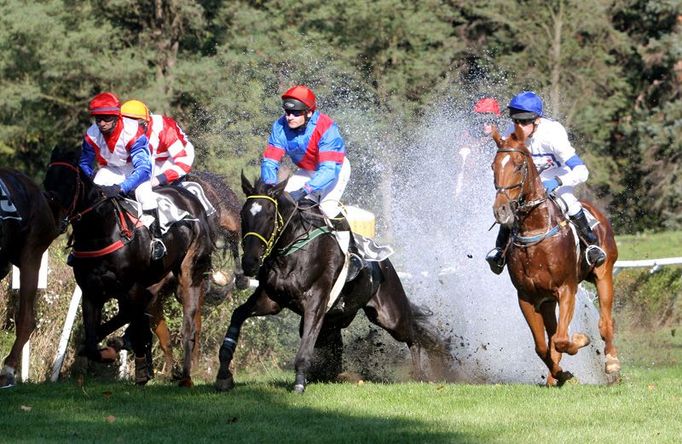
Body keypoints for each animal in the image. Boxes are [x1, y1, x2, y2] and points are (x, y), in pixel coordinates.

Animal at [43, 147, 212, 386]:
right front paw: (110, 353)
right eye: (47, 179)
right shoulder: (92, 292)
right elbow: (93, 340)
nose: (55, 219)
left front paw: (120, 351)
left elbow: (127, 321)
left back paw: (186, 375)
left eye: (69, 182)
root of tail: (191, 199)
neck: (100, 232)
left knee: (189, 325)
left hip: (190, 275)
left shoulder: (132, 288)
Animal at [212, 173, 446, 392]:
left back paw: (421, 375)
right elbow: (238, 315)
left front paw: (299, 385)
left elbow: (305, 347)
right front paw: (224, 375)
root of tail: (385, 263)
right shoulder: (271, 300)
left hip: (390, 316)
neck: (291, 252)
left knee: (414, 336)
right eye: (243, 214)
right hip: (336, 319)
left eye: (270, 217)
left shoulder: (315, 302)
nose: (249, 262)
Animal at [492, 126, 620, 384]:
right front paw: (561, 374)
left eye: (519, 165)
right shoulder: (527, 297)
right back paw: (555, 376)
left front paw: (580, 340)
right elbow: (544, 345)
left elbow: (561, 339)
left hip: (603, 274)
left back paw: (611, 362)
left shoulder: (566, 289)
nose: (501, 210)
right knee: (552, 335)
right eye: (493, 166)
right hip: (548, 300)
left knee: (605, 323)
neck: (535, 230)